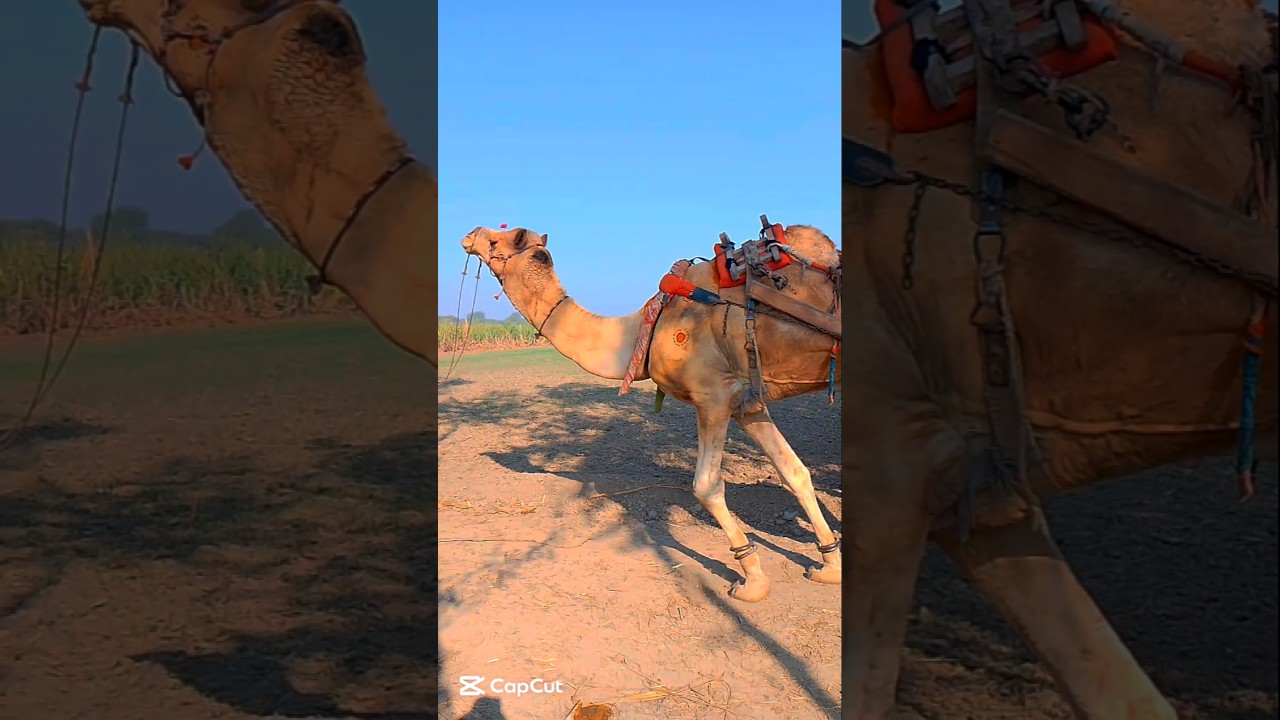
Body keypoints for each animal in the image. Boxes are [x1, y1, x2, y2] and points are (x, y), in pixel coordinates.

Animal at [460, 224, 843, 601]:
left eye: (499, 239)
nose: (470, 233)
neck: (645, 329)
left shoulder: (712, 396)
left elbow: (705, 486)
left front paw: (752, 580)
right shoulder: (746, 401)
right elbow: (794, 472)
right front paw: (829, 565)